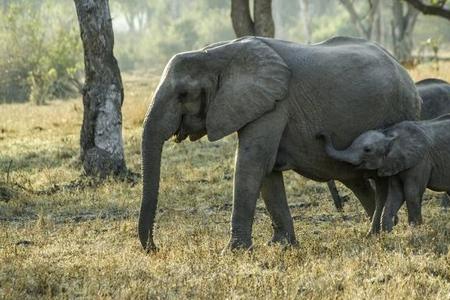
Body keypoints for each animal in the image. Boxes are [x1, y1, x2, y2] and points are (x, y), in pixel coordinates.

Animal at [138, 36, 422, 251]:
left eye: (184, 94)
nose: (155, 248)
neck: (216, 52)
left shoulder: (274, 104)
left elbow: (253, 164)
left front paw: (233, 252)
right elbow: (268, 172)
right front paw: (281, 246)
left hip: (400, 111)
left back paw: (384, 232)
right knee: (355, 180)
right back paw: (379, 231)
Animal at [322, 113, 450, 233]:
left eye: (367, 150)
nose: (322, 134)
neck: (389, 134)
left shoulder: (421, 161)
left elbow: (411, 194)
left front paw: (415, 231)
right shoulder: (394, 164)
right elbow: (395, 194)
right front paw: (387, 233)